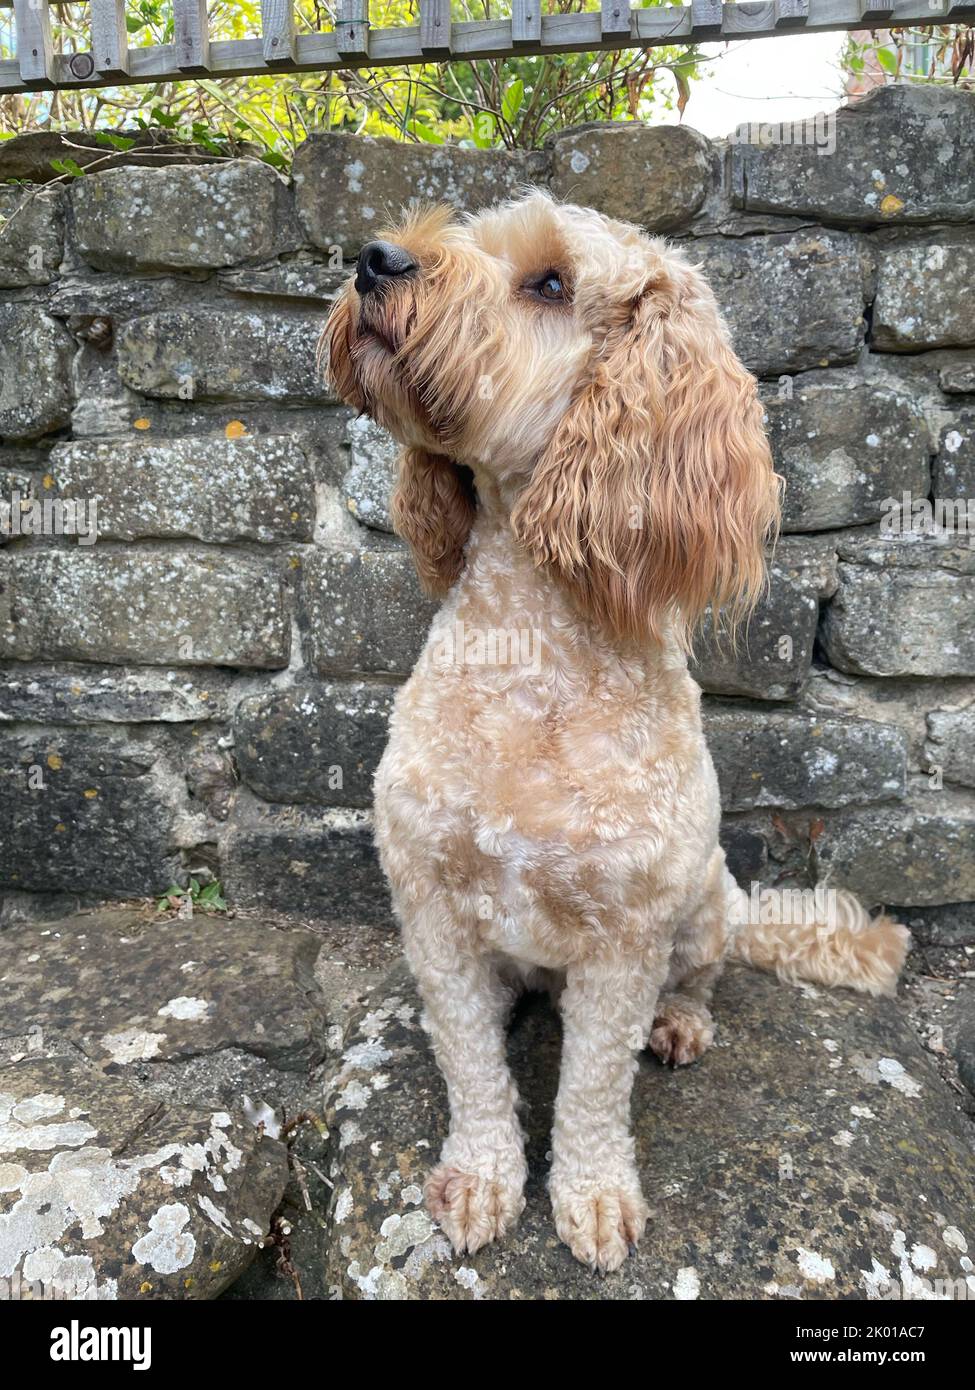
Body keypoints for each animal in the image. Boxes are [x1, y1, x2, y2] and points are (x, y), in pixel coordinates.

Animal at [322, 190, 906, 1273]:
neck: (530, 654)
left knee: (702, 979)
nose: (376, 258)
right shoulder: (432, 908)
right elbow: (470, 1063)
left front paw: (588, 1196)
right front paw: (482, 1177)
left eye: (550, 282)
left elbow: (594, 1086)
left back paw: (678, 1025)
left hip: (705, 902)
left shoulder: (623, 939)